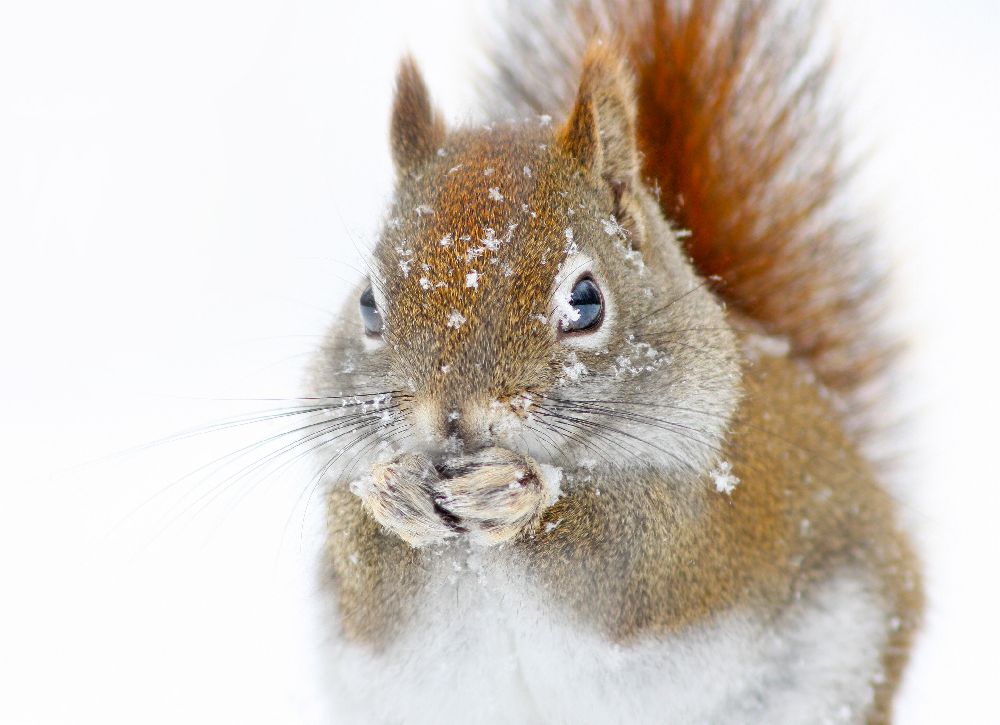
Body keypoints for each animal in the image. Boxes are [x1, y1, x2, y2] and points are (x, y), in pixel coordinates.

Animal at [304, 1, 920, 720]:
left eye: (586, 301)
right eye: (368, 305)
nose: (452, 417)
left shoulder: (697, 532)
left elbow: (619, 562)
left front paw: (518, 491)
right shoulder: (368, 605)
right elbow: (370, 581)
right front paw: (391, 490)